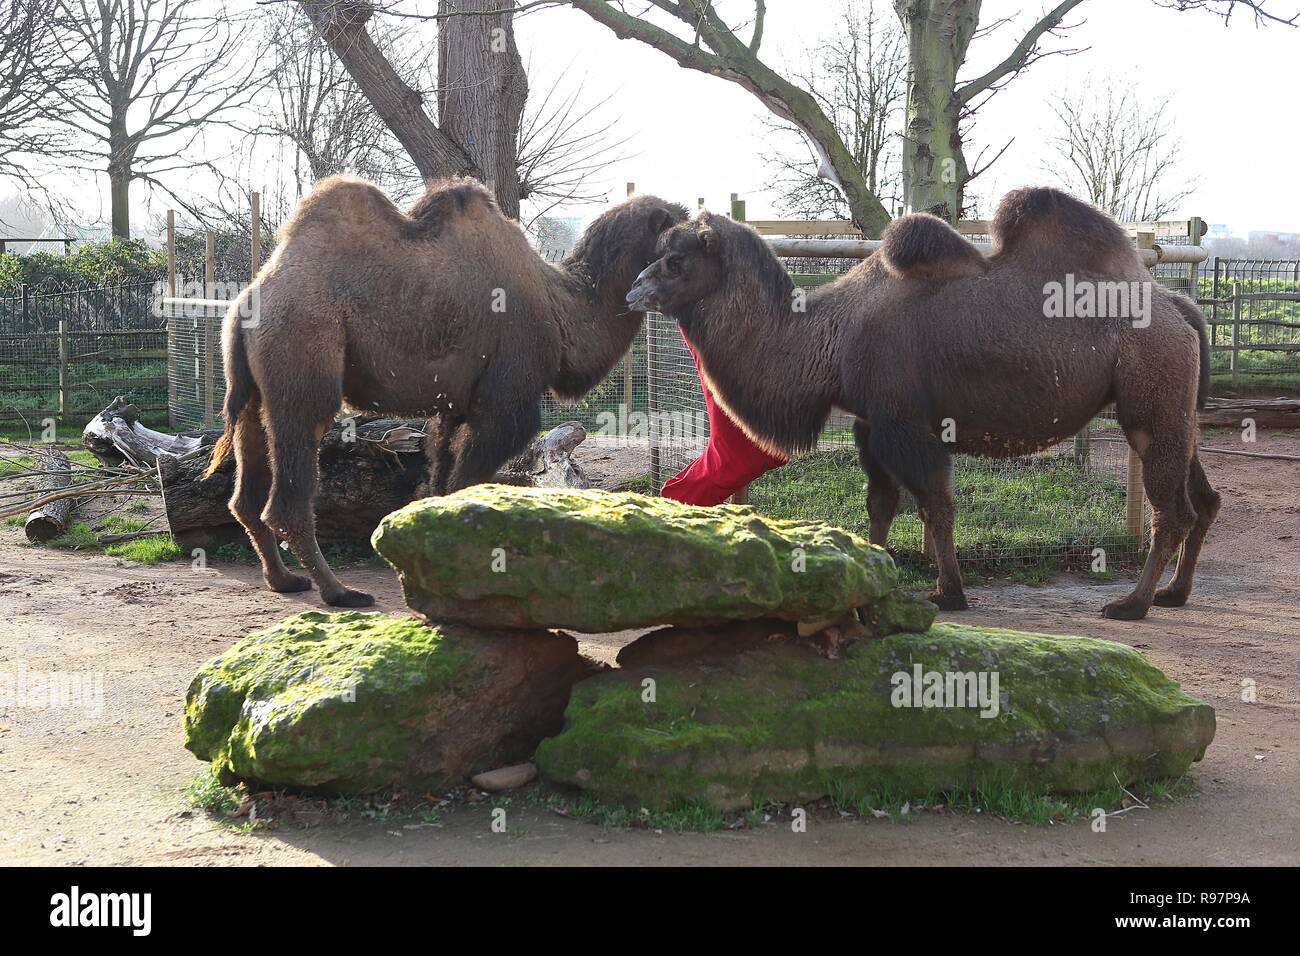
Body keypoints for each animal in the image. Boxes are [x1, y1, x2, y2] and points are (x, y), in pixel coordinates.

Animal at [204, 175, 686, 606]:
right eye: (678, 233)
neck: (560, 309)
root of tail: (246, 302)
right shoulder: (504, 401)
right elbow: (466, 483)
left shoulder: (453, 405)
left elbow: (439, 481)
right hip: (302, 353)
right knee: (291, 479)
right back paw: (339, 592)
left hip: (254, 388)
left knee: (246, 490)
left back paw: (284, 580)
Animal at [629, 187, 1216, 621]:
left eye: (675, 261)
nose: (634, 289)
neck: (831, 339)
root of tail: (1177, 306)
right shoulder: (870, 425)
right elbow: (882, 503)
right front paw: (873, 571)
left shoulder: (906, 424)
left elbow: (936, 505)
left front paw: (949, 592)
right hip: (1175, 408)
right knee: (1204, 499)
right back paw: (1174, 593)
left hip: (1150, 398)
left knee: (1172, 508)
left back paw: (1133, 603)